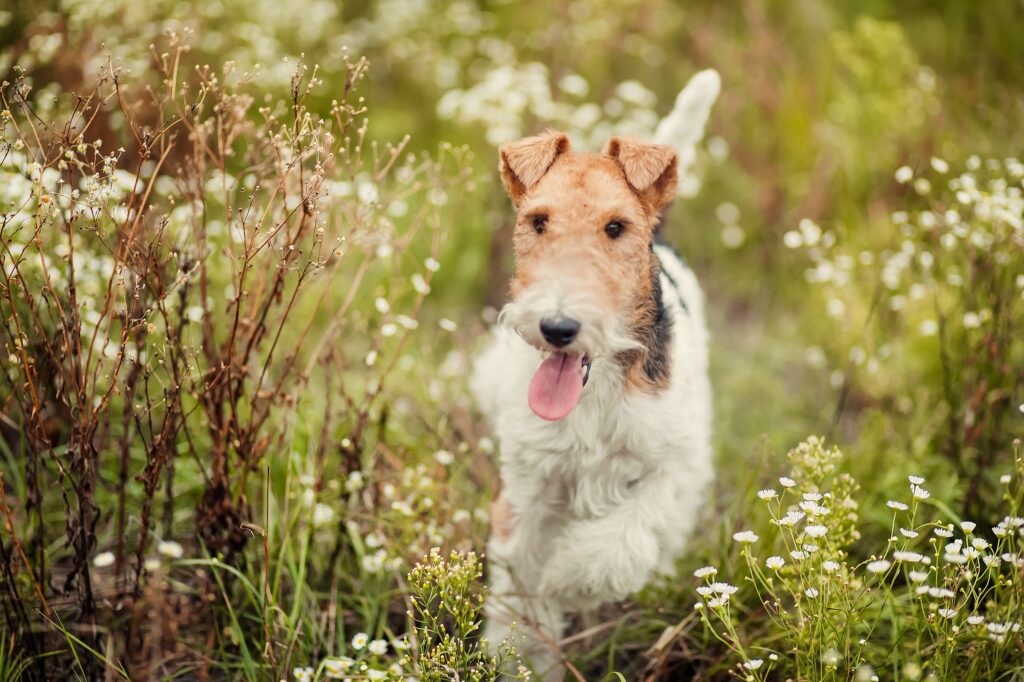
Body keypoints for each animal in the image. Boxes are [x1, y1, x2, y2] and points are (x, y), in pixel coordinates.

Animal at [471, 125, 712, 675]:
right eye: (538, 221)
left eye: (616, 227)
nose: (558, 327)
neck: (597, 391)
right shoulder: (530, 486)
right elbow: (518, 581)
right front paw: (522, 658)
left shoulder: (668, 467)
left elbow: (616, 549)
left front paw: (566, 582)